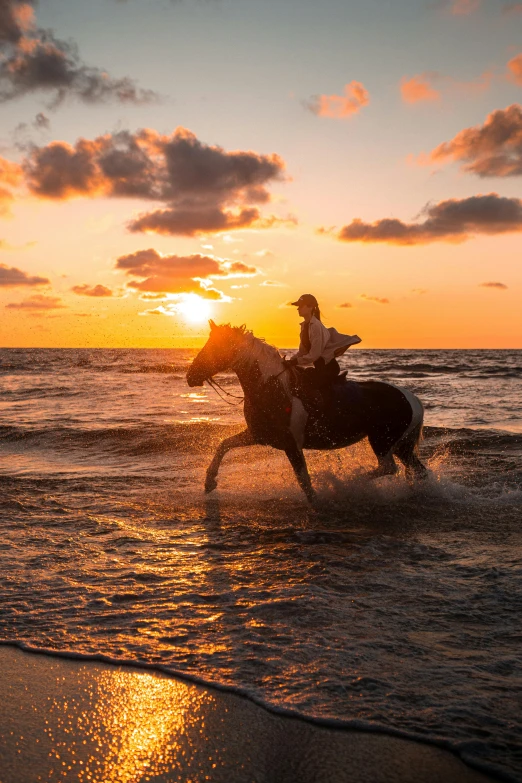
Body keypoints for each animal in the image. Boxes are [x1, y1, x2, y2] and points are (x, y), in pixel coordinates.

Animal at [187, 322, 426, 506]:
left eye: (215, 348)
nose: (190, 376)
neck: (272, 387)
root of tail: (411, 398)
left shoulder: (291, 445)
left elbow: (304, 481)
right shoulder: (259, 435)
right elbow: (224, 445)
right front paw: (209, 482)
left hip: (382, 441)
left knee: (387, 467)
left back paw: (348, 482)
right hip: (400, 445)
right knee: (417, 470)